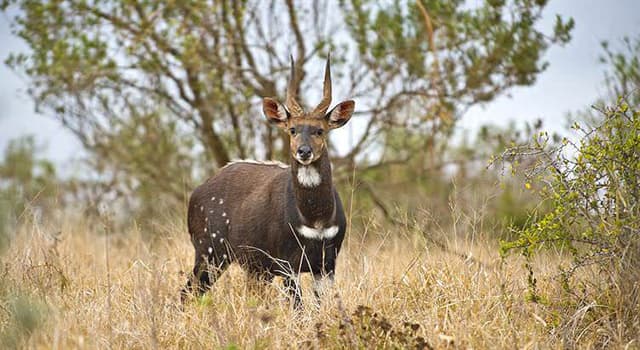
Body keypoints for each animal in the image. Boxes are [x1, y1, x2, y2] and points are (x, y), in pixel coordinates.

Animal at [181, 54, 356, 306]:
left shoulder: (327, 264)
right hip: (210, 252)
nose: (304, 152)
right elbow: (299, 308)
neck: (315, 218)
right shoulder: (288, 264)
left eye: (320, 130)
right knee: (187, 292)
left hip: (252, 267)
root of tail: (197, 192)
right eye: (292, 130)